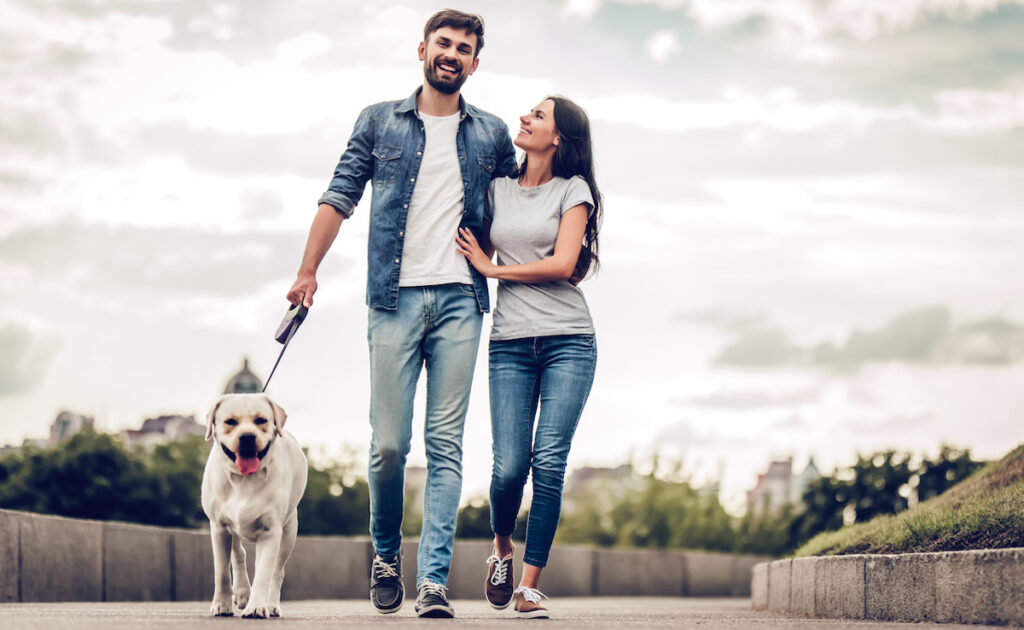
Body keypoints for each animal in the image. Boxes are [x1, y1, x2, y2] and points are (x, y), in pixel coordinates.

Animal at [200, 391, 307, 618]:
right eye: (230, 422)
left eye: (261, 420)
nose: (247, 436)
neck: (244, 479)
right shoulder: (219, 528)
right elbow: (222, 571)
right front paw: (222, 604)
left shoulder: (270, 531)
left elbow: (264, 573)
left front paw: (257, 606)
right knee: (238, 553)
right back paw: (241, 591)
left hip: (288, 533)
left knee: (277, 571)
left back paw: (271, 604)